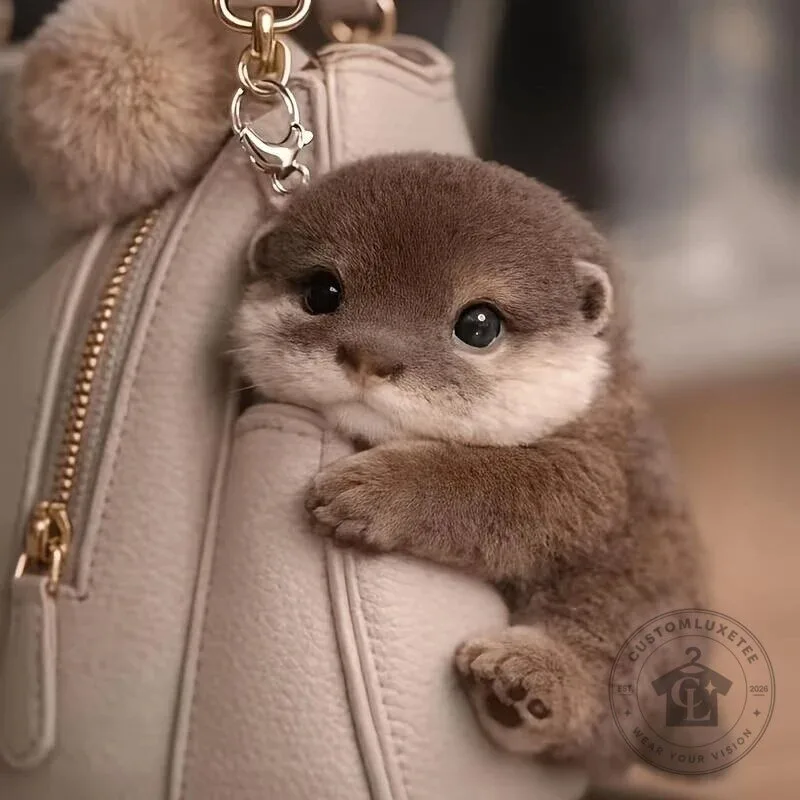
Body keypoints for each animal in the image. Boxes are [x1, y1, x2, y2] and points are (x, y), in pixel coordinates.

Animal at [232, 153, 705, 774]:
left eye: (479, 325)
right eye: (322, 292)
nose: (370, 355)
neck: (590, 397)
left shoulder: (599, 473)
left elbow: (498, 485)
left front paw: (373, 492)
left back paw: (528, 682)